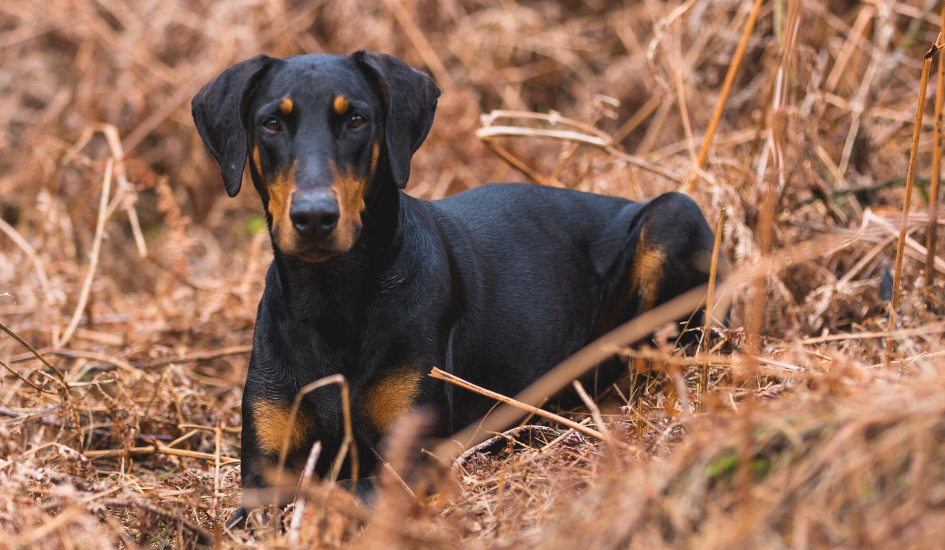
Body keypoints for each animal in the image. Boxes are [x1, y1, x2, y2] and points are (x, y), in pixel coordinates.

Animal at [192, 49, 724, 524]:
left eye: (357, 120)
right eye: (271, 123)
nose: (314, 217)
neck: (332, 298)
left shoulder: (412, 456)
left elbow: (342, 493)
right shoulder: (263, 468)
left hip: (672, 216)